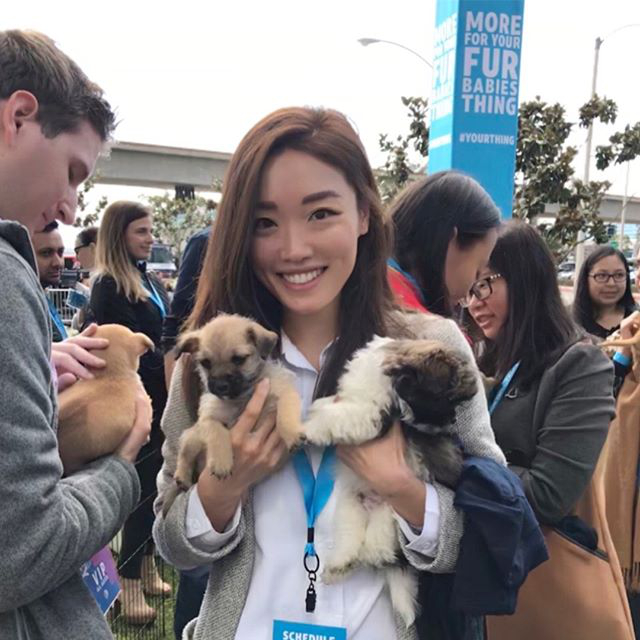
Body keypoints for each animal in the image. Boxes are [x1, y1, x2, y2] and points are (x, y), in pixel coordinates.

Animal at [166, 312, 304, 512]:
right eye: (206, 363)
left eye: (239, 359)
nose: (221, 386)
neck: (243, 397)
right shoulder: (208, 418)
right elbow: (218, 433)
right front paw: (221, 462)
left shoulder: (284, 392)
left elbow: (285, 414)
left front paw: (292, 434)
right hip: (192, 438)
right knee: (184, 455)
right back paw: (182, 477)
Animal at [302, 336, 478, 624]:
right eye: (448, 399)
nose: (452, 422)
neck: (391, 377)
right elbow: (337, 406)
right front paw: (321, 408)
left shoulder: (372, 416)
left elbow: (345, 416)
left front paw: (310, 428)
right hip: (350, 506)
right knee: (350, 539)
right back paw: (341, 565)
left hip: (389, 517)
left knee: (378, 549)